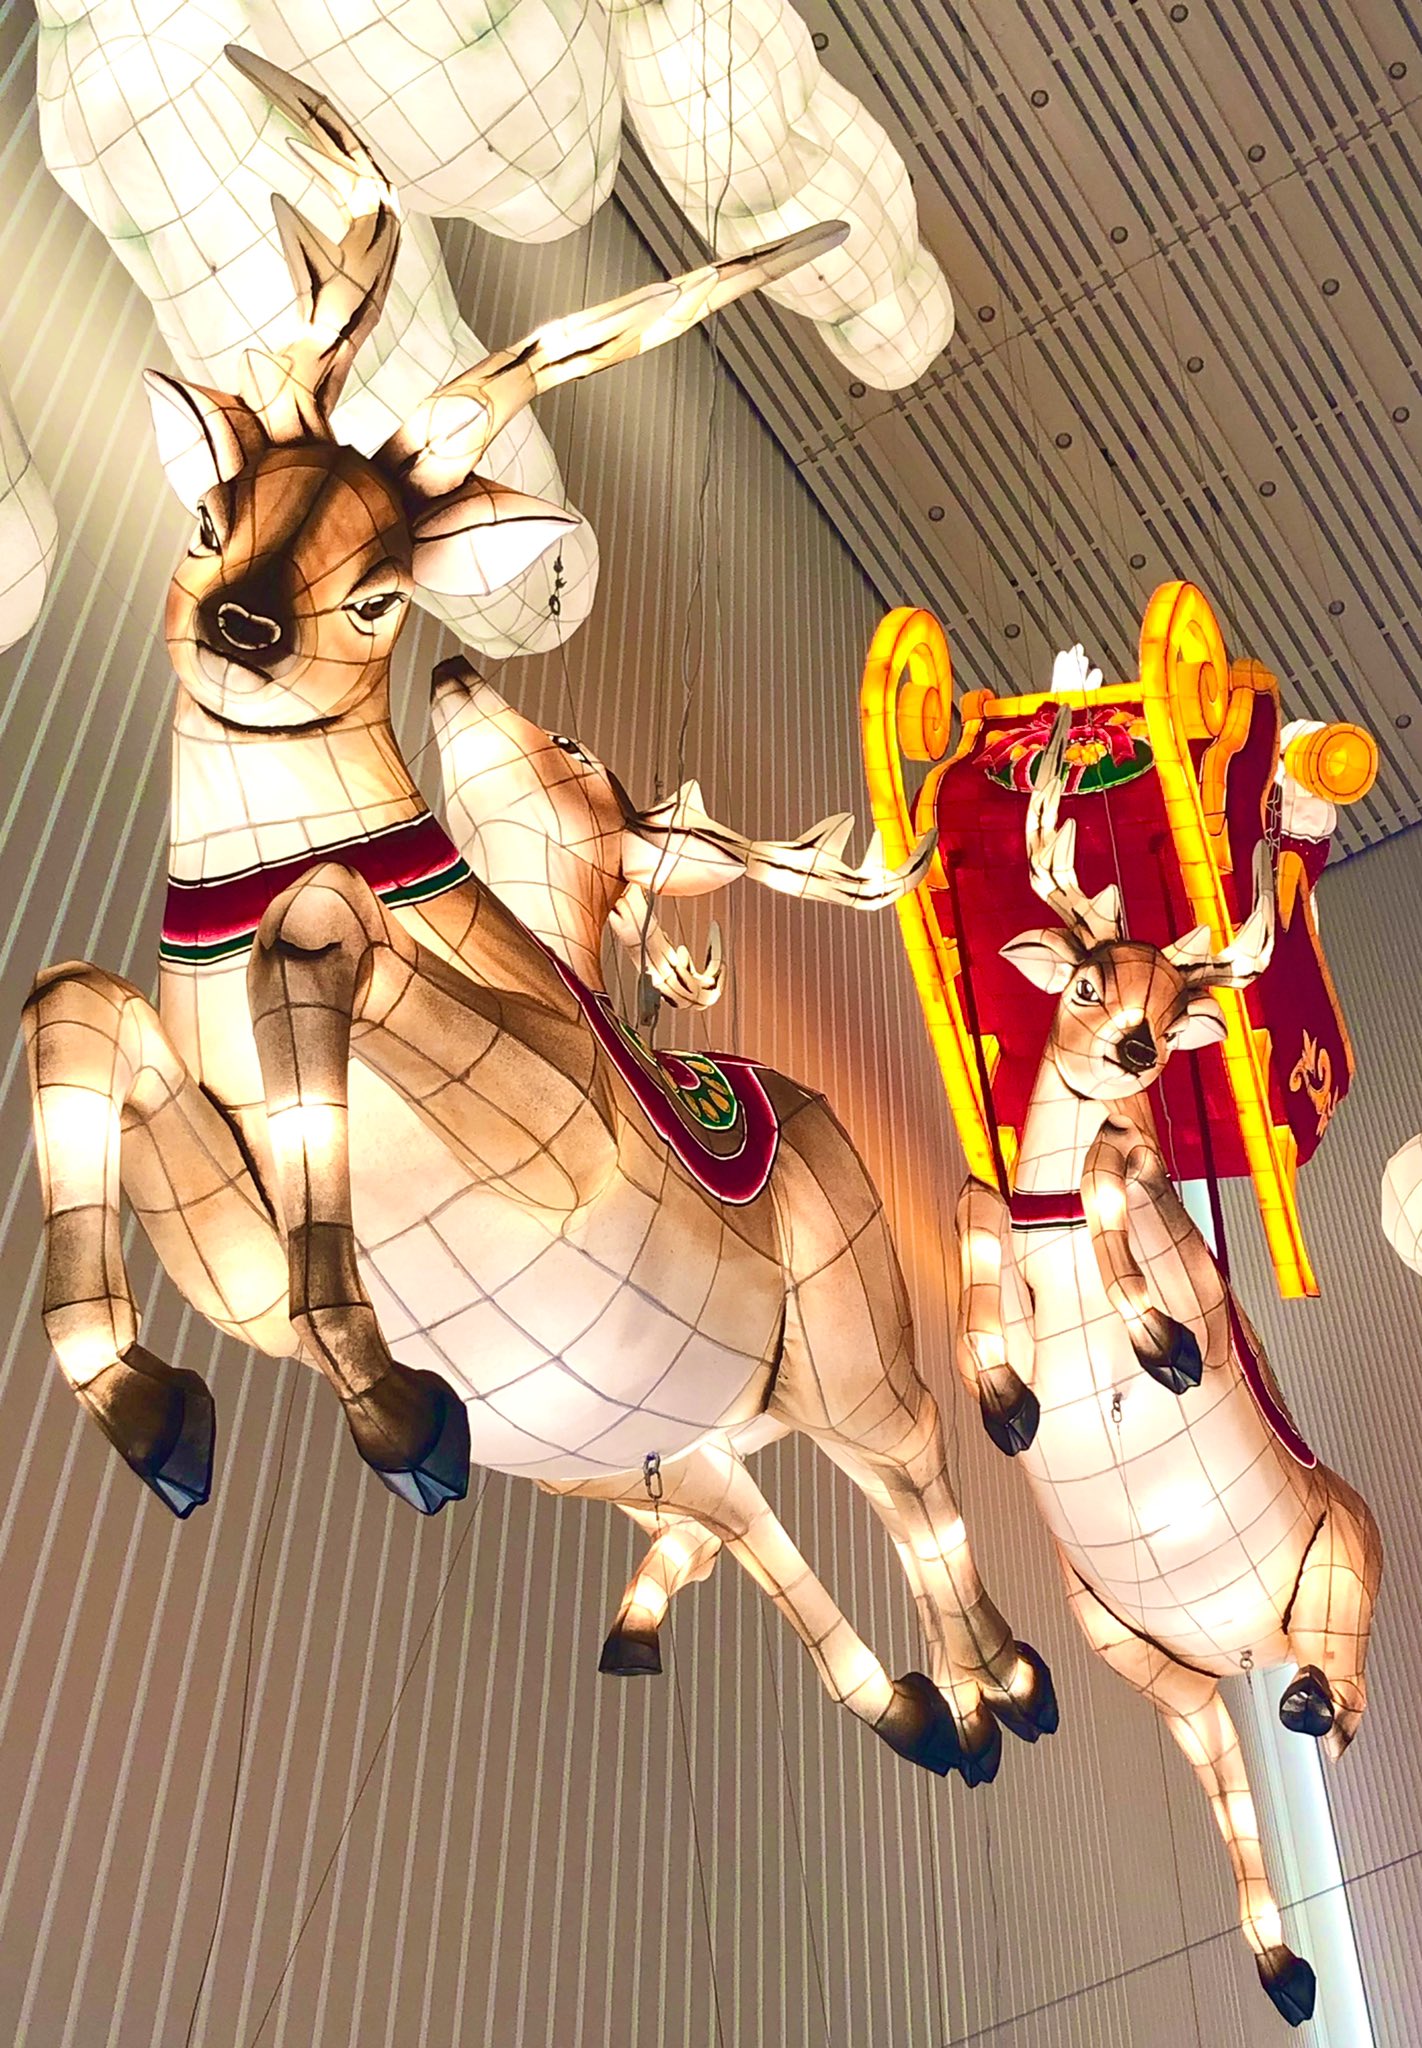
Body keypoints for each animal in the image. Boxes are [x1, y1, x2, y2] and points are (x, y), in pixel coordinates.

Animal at [22, 50, 1058, 1791]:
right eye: (216, 510)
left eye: (381, 588)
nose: (243, 622)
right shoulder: (232, 1265)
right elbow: (72, 1000)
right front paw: (164, 1417)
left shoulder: (557, 1148)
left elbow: (319, 928)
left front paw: (387, 1408)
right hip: (624, 1438)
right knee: (744, 1508)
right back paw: (902, 1708)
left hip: (849, 1346)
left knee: (914, 1479)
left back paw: (1006, 1686)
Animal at [946, 703, 1382, 2024]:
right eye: (1088, 978)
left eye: (1174, 993)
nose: (1136, 1046)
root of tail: (1248, 1649)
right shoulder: (1004, 1232)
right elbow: (974, 1207)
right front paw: (1012, 1408)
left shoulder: (1178, 1244)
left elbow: (1106, 1166)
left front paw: (1167, 1352)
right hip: (1157, 1666)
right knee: (1236, 1779)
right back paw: (1287, 1973)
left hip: (1343, 1568)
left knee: (1343, 1696)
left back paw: (1311, 1705)